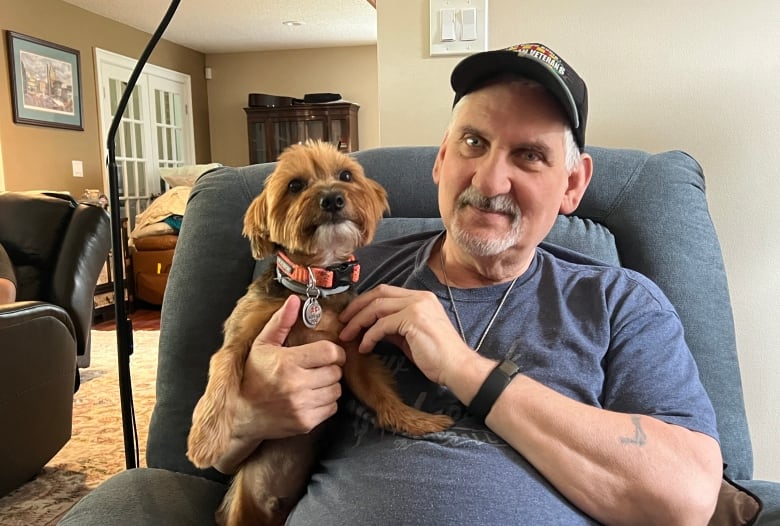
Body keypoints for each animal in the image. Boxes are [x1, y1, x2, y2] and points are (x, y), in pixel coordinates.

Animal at [187, 141, 454, 526]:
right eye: (295, 185)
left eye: (345, 175)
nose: (332, 198)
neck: (313, 283)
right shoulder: (239, 338)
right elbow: (222, 376)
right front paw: (204, 439)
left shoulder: (352, 351)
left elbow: (381, 394)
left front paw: (416, 420)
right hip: (239, 509)